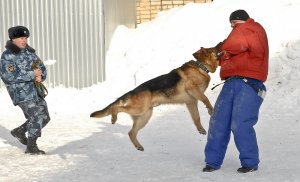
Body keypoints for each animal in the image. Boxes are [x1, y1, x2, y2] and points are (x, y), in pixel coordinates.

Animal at [90, 43, 221, 151]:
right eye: (213, 48)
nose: (221, 42)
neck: (201, 66)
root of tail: (133, 91)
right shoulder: (193, 89)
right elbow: (205, 98)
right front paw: (210, 109)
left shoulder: (191, 102)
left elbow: (196, 118)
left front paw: (200, 129)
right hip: (139, 109)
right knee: (117, 108)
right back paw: (113, 118)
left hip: (144, 116)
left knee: (131, 132)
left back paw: (138, 146)